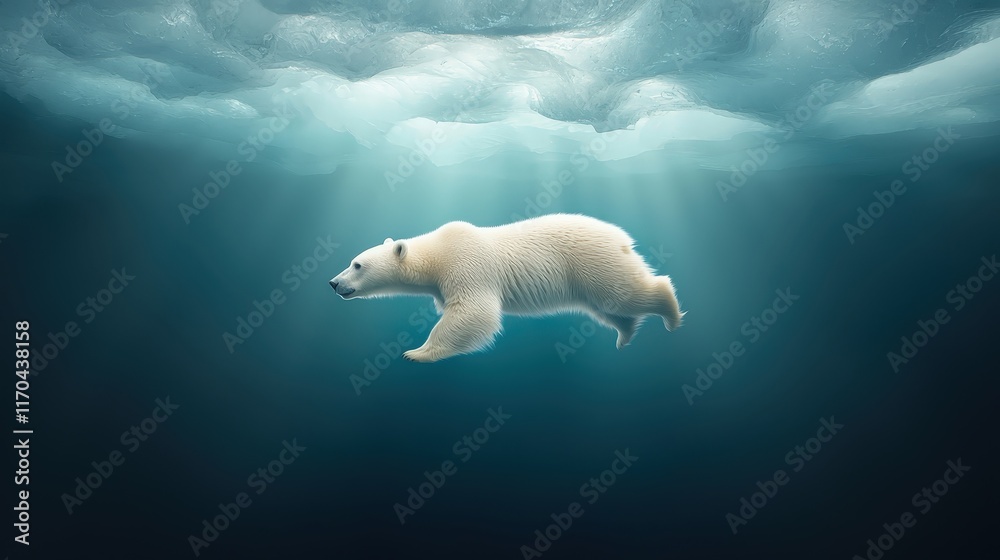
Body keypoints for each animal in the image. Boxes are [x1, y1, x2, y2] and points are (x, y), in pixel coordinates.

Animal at [329, 213, 684, 362]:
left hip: (593, 262)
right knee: (610, 310)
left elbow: (473, 313)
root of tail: (621, 237)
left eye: (357, 265)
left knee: (625, 293)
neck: (438, 252)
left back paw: (671, 313)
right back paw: (624, 336)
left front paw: (416, 353)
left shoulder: (466, 265)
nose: (334, 283)